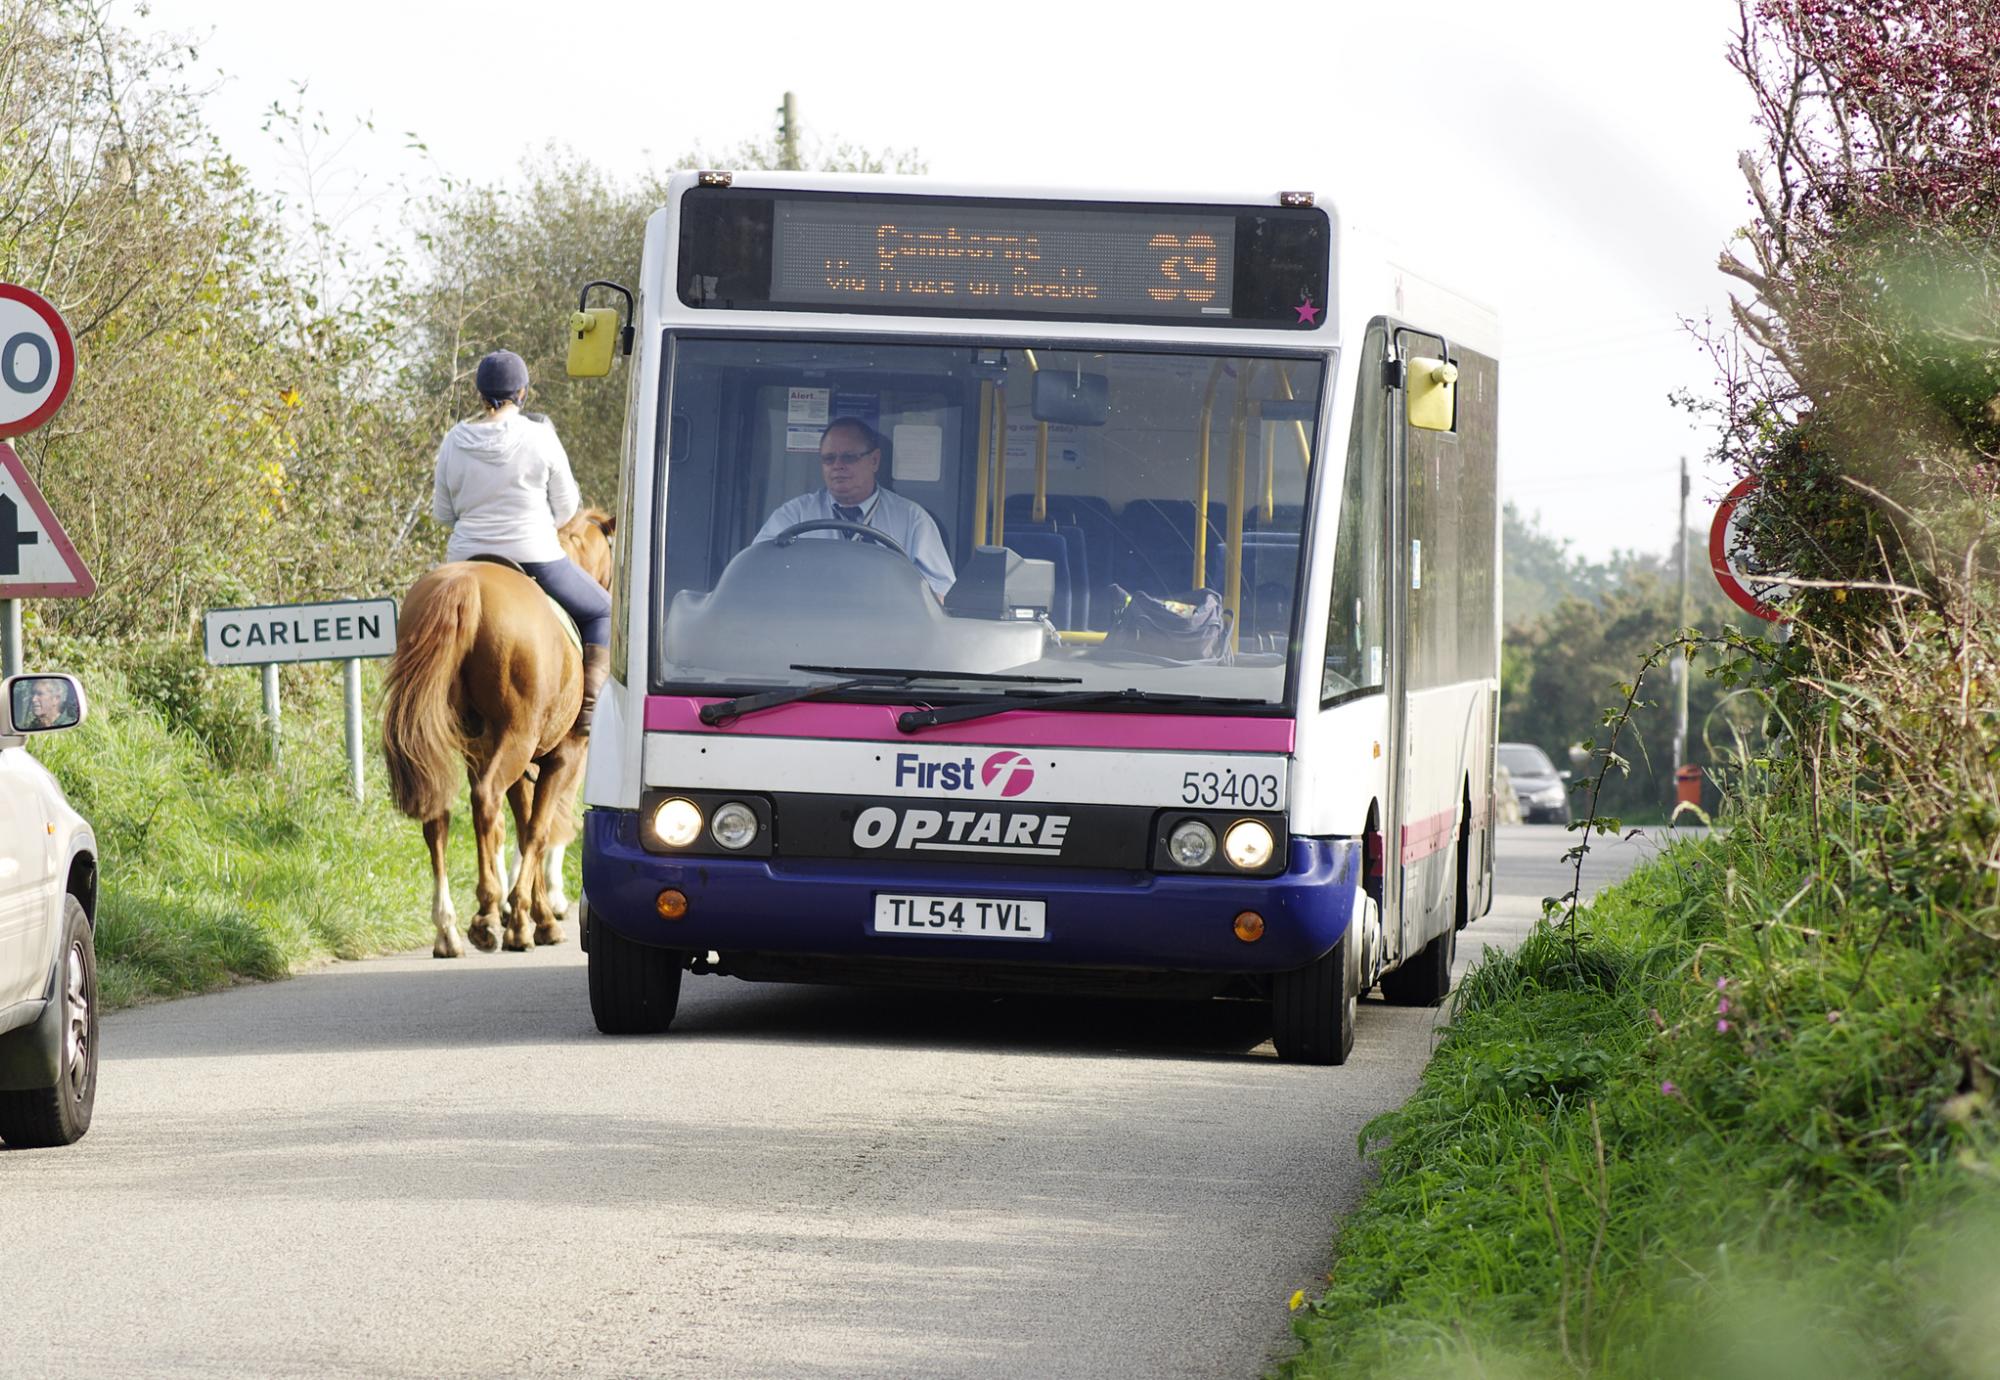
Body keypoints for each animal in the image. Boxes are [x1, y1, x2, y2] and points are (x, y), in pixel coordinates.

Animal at [378, 508, 612, 956]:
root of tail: (465, 583)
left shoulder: (514, 762)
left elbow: (520, 827)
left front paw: (534, 914)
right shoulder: (563, 757)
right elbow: (537, 830)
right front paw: (529, 918)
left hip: (460, 743)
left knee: (441, 814)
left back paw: (448, 929)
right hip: (518, 741)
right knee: (486, 800)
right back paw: (487, 914)